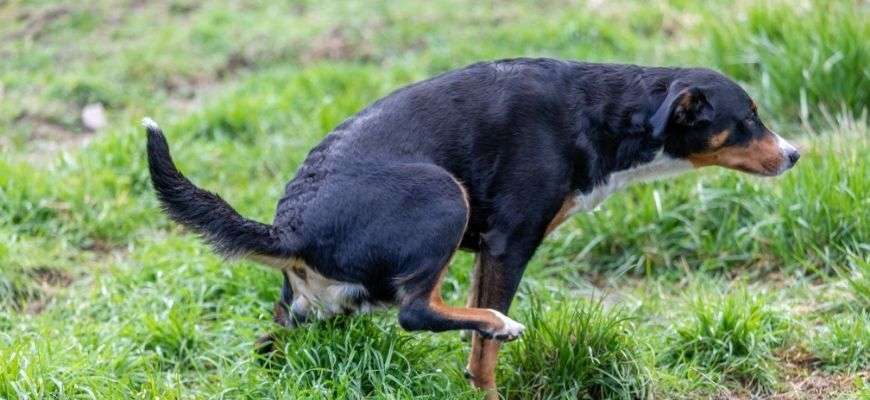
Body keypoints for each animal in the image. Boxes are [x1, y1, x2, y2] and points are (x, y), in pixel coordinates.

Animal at [145, 57, 804, 398]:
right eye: (748, 119)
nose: (795, 155)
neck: (601, 112)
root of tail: (292, 227)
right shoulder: (509, 243)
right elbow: (482, 352)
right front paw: (489, 368)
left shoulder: (491, 251)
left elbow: (472, 350)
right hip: (442, 196)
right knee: (416, 312)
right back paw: (498, 322)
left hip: (311, 312)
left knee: (273, 344)